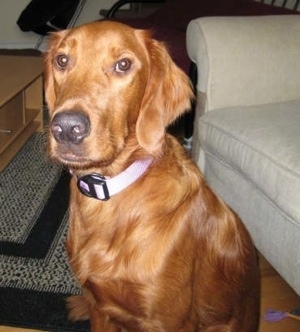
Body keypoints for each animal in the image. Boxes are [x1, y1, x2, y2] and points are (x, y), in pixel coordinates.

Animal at [44, 20, 260, 332]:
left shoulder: (172, 321)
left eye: (123, 65)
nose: (66, 128)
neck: (111, 191)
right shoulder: (99, 306)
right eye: (62, 60)